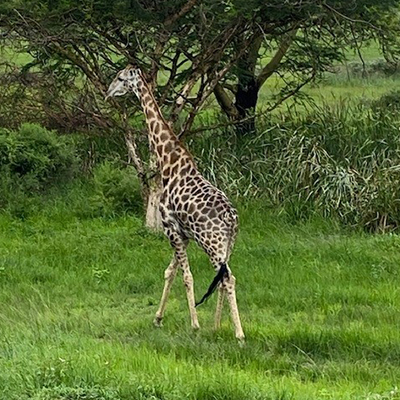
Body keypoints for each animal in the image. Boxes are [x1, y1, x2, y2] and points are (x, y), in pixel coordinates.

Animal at [105, 65, 244, 340]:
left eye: (120, 78)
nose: (108, 92)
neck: (169, 161)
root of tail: (232, 220)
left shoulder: (171, 228)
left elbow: (186, 275)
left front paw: (194, 324)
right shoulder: (183, 234)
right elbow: (170, 272)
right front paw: (158, 318)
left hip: (212, 243)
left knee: (227, 278)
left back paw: (238, 334)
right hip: (227, 246)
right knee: (224, 278)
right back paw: (218, 325)